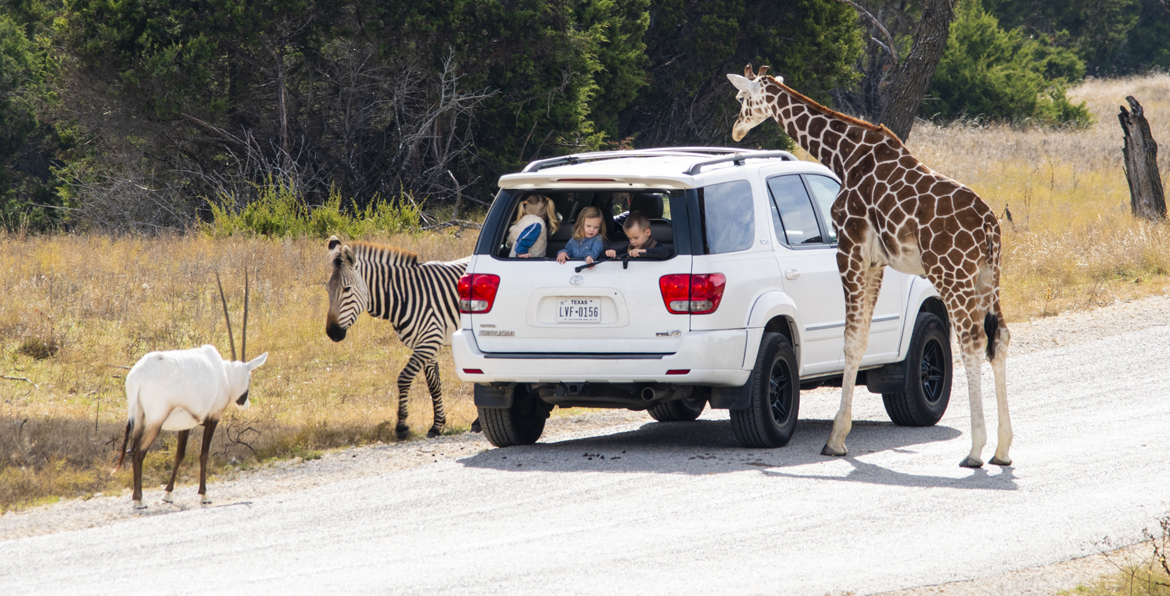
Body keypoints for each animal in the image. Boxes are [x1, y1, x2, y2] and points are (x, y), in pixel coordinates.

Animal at [114, 271, 267, 508]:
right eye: (249, 377)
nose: (244, 402)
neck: (224, 374)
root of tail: (138, 377)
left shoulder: (184, 424)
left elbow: (180, 454)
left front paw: (168, 494)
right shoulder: (213, 417)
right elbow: (204, 454)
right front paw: (204, 495)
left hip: (138, 417)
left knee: (133, 449)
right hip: (155, 421)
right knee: (139, 452)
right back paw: (139, 500)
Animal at [322, 235, 472, 437]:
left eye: (346, 289)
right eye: (328, 289)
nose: (332, 332)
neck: (405, 296)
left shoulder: (429, 341)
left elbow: (404, 378)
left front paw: (402, 425)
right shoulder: (428, 345)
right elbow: (434, 384)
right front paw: (437, 425)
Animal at [725, 63, 1010, 463]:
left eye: (741, 97)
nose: (736, 128)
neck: (844, 154)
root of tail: (988, 225)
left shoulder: (849, 248)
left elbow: (849, 339)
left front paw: (834, 440)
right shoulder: (877, 262)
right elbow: (861, 340)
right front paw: (840, 435)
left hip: (951, 272)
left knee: (971, 339)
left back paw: (974, 450)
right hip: (988, 275)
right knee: (999, 336)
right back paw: (1002, 449)